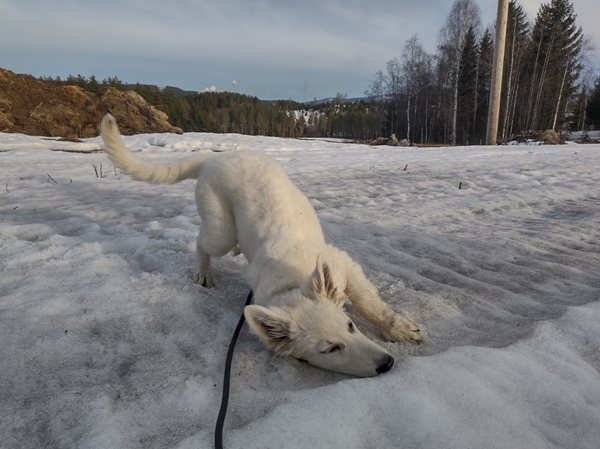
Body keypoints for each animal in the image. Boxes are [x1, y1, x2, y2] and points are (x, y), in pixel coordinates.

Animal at [101, 114, 420, 376]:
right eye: (331, 349)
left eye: (350, 326)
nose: (387, 363)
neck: (293, 278)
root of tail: (214, 159)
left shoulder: (344, 263)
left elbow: (369, 303)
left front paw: (400, 328)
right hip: (220, 230)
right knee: (202, 241)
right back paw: (203, 271)